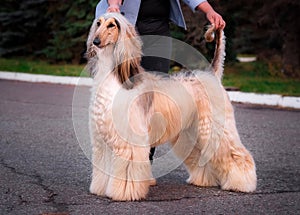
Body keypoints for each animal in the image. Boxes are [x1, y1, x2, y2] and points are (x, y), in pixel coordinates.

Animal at [85, 13, 256, 202]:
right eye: (98, 23)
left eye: (112, 25)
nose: (96, 41)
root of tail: (212, 75)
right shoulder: (103, 139)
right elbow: (103, 166)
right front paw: (100, 189)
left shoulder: (129, 140)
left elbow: (127, 169)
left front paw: (123, 193)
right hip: (191, 132)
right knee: (201, 154)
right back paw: (203, 180)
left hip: (214, 128)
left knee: (236, 154)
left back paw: (241, 183)